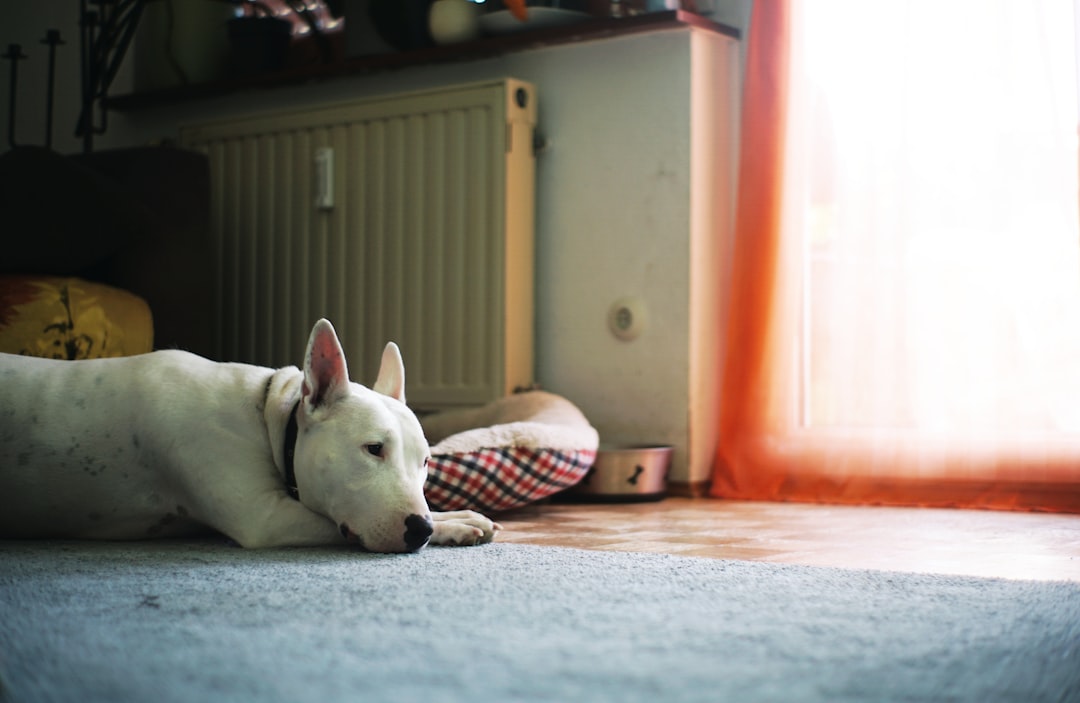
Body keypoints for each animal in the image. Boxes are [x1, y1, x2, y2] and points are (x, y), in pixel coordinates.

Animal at [0, 319, 498, 557]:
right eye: (373, 449)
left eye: (425, 462)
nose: (422, 529)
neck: (265, 418)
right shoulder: (267, 518)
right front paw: (454, 526)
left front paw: (458, 516)